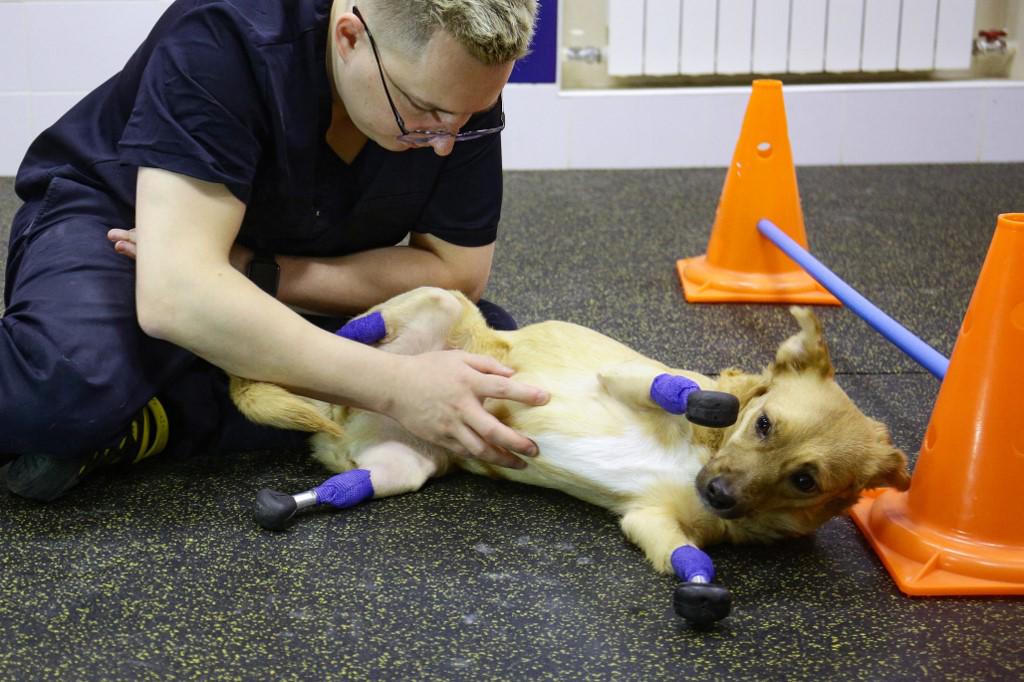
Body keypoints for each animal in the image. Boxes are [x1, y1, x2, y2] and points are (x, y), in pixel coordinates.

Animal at [228, 284, 909, 622]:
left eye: (805, 481)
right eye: (763, 424)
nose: (717, 494)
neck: (704, 459)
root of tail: (341, 415)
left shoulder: (649, 521)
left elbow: (689, 561)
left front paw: (702, 590)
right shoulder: (621, 376)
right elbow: (683, 391)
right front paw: (710, 403)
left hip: (403, 467)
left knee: (343, 481)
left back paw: (289, 502)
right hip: (433, 303)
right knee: (341, 338)